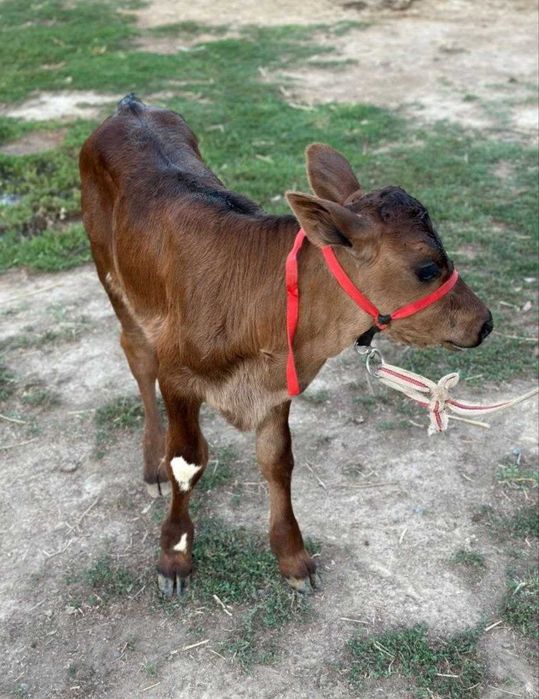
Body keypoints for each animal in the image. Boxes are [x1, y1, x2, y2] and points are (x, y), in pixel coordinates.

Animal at [79, 94, 492, 596]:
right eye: (428, 268)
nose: (485, 322)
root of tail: (130, 105)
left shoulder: (278, 384)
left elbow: (277, 460)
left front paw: (293, 556)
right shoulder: (177, 376)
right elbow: (187, 463)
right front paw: (174, 556)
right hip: (112, 277)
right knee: (138, 358)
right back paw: (151, 462)